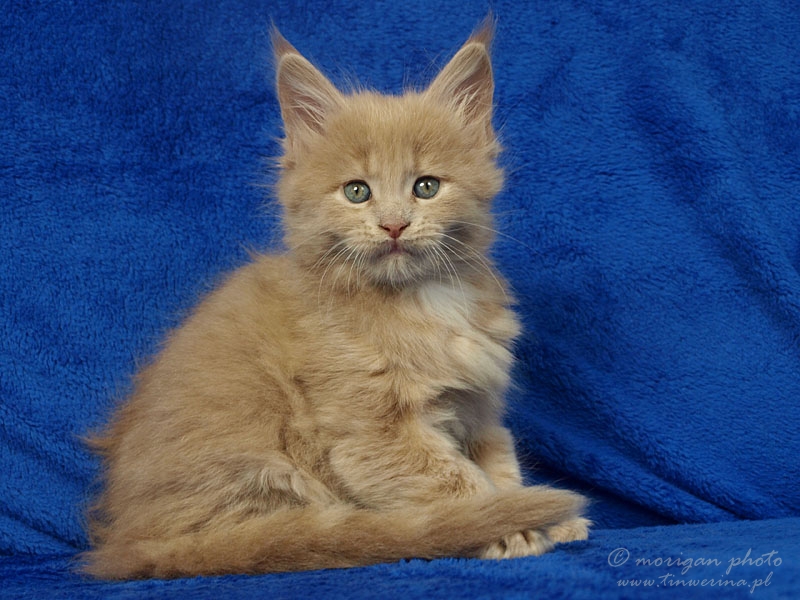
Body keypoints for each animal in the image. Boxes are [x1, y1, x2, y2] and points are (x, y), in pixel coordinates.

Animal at [81, 18, 590, 580]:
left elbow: (501, 463)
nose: (394, 225)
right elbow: (456, 481)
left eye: (426, 186)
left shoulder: (478, 409)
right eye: (357, 192)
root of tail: (131, 541)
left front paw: (549, 520)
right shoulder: (371, 435)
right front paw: (510, 525)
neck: (421, 298)